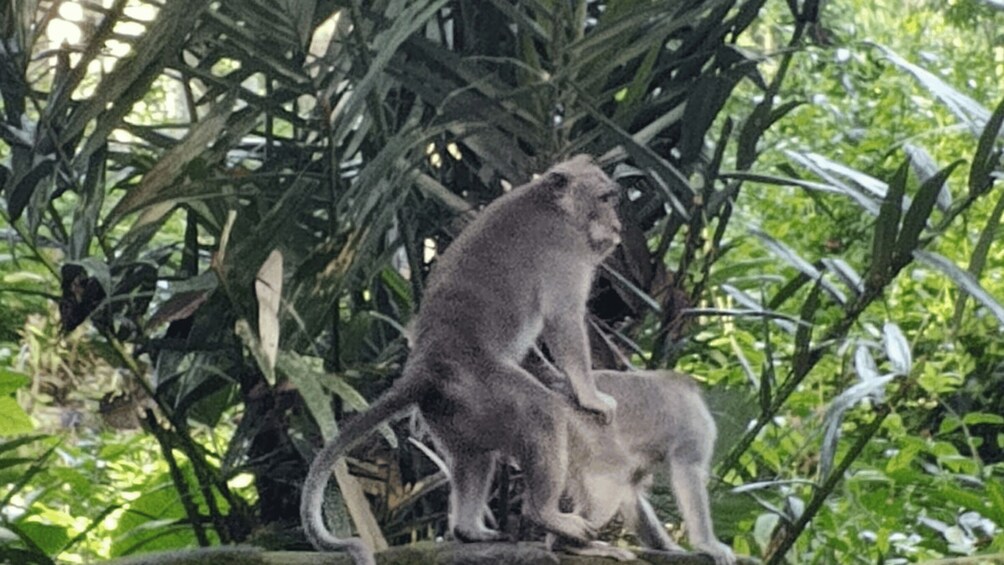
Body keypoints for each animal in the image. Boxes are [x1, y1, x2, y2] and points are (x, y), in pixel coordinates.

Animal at [300, 155, 623, 565]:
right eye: (605, 198)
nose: (618, 227)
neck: (553, 204)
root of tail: (424, 368)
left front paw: (559, 378)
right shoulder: (567, 253)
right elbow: (562, 322)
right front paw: (589, 396)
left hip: (454, 411)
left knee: (475, 456)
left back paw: (469, 529)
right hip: (482, 388)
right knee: (541, 414)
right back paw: (546, 513)